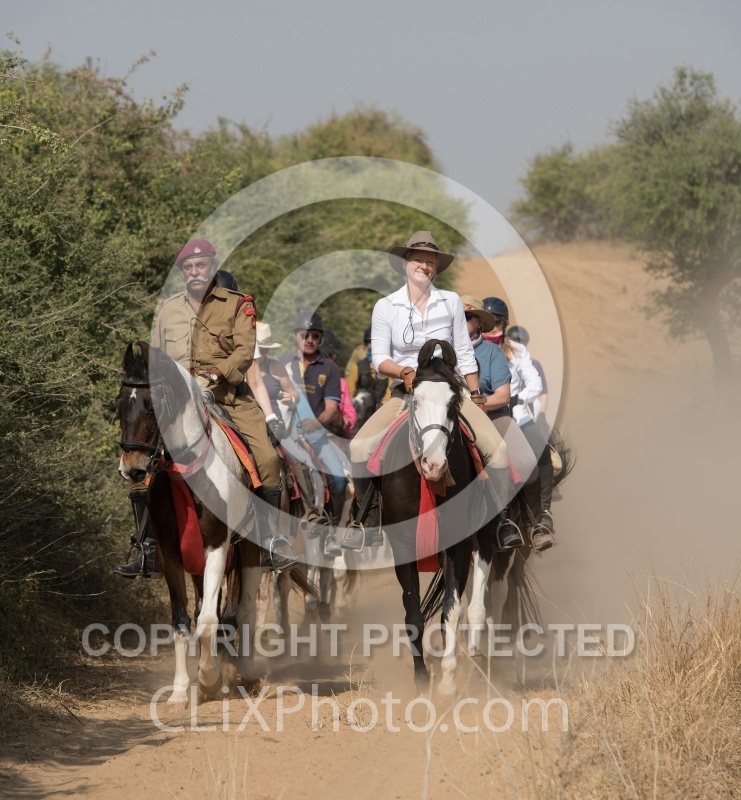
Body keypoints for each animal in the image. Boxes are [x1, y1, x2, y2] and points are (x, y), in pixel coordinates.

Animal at [116, 341, 313, 708]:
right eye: (118, 403)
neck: (186, 473)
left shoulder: (218, 547)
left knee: (246, 609)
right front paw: (181, 689)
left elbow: (209, 620)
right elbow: (183, 620)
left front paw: (209, 678)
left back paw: (244, 672)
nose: (132, 470)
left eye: (151, 404)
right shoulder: (171, 554)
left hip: (249, 551)